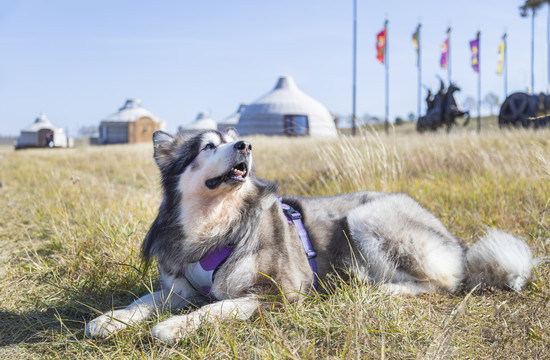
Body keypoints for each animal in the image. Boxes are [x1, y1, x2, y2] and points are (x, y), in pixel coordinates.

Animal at [85, 128, 540, 342]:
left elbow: (215, 308)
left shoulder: (276, 292)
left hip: (366, 217)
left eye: (232, 136)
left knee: (442, 282)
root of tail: (453, 236)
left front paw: (172, 328)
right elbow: (146, 299)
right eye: (208, 146)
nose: (245, 144)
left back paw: (379, 290)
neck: (216, 226)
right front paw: (111, 319)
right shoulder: (180, 286)